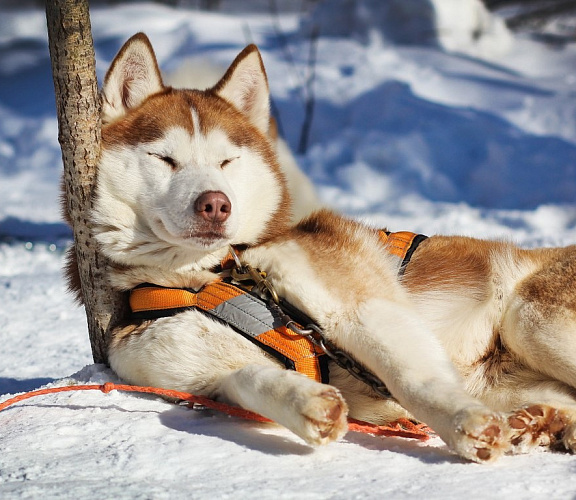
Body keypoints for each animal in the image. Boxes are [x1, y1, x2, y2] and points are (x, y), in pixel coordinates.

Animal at [84, 34, 576, 464]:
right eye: (164, 159)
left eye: (227, 161)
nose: (216, 204)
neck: (213, 274)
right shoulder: (194, 376)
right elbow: (245, 378)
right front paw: (306, 403)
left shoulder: (363, 309)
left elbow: (414, 380)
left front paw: (463, 423)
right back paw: (543, 422)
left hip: (531, 319)